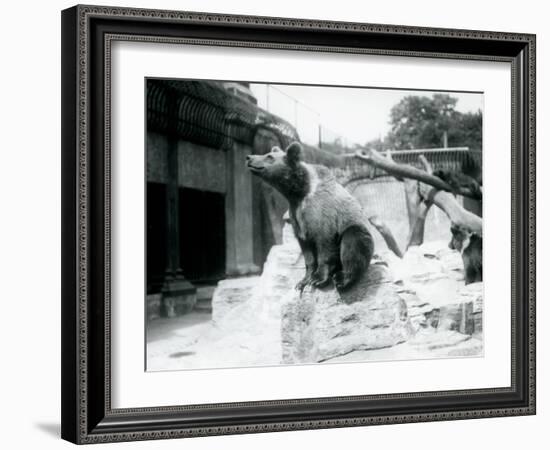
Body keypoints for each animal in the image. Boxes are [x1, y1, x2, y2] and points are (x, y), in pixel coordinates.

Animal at [249, 142, 376, 294]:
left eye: (269, 156)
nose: (249, 157)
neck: (299, 192)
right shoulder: (296, 217)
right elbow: (307, 251)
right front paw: (303, 281)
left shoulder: (321, 213)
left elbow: (325, 243)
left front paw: (318, 279)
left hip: (359, 230)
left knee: (353, 242)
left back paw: (342, 278)